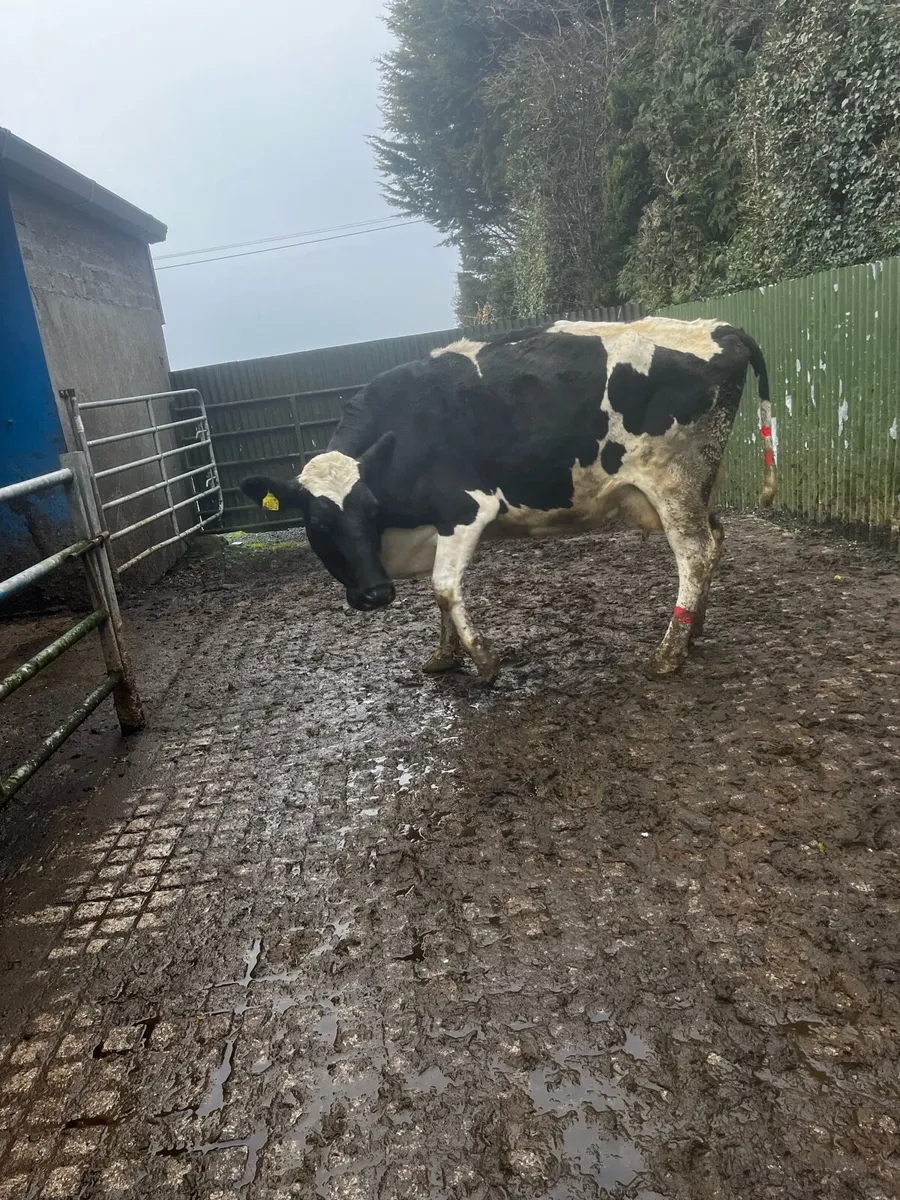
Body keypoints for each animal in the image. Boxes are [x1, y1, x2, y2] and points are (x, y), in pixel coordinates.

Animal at [241, 318, 776, 684]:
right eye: (318, 524)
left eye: (369, 510)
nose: (376, 595)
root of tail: (716, 326)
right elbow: (440, 596)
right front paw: (444, 656)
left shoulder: (466, 509)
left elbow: (443, 588)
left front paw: (483, 660)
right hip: (700, 482)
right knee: (715, 541)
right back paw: (693, 634)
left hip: (674, 482)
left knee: (695, 555)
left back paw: (667, 654)